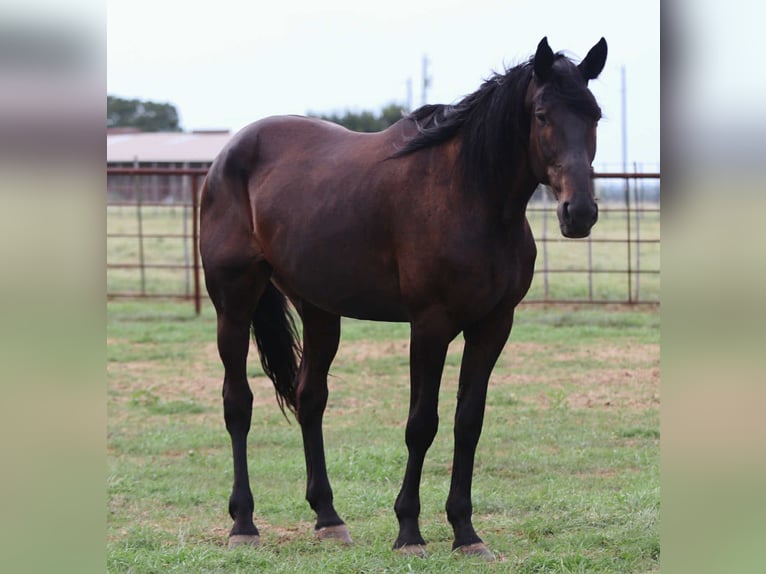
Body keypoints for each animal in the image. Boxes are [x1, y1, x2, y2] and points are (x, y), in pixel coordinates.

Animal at [199, 36, 607, 559]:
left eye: (594, 114)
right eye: (541, 114)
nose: (580, 212)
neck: (471, 195)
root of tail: (229, 154)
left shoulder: (493, 326)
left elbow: (467, 423)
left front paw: (465, 532)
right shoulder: (430, 326)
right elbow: (422, 425)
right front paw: (409, 531)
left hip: (320, 310)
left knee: (311, 399)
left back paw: (328, 518)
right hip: (233, 304)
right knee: (238, 403)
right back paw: (243, 523)